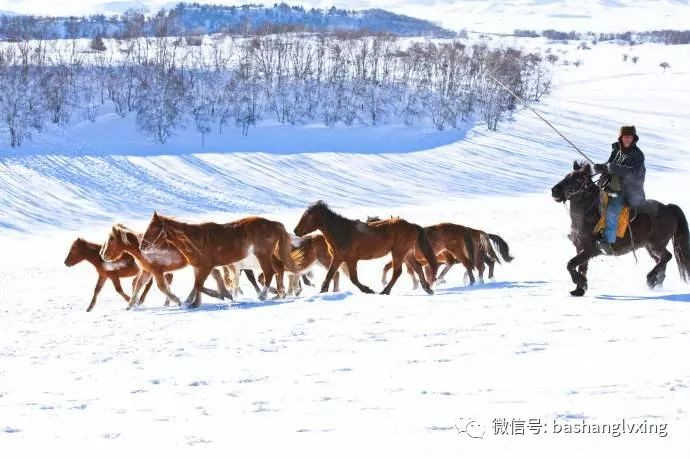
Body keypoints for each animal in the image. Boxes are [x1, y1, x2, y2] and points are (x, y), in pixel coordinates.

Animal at [99, 226, 228, 310]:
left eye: (111, 239)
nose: (103, 255)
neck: (143, 250)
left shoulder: (157, 271)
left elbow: (162, 287)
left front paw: (177, 301)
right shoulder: (147, 271)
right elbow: (138, 285)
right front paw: (130, 305)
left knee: (205, 279)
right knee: (212, 276)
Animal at [140, 214, 298, 308]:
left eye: (153, 229)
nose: (142, 246)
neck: (196, 240)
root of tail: (274, 224)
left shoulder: (206, 266)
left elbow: (199, 285)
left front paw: (222, 295)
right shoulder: (198, 267)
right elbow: (197, 285)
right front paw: (193, 302)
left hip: (262, 256)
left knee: (269, 273)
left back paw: (263, 295)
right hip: (267, 256)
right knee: (278, 269)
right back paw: (280, 292)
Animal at [292, 201, 436, 294]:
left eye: (307, 216)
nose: (295, 231)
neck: (342, 231)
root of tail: (411, 225)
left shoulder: (351, 259)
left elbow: (353, 279)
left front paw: (368, 290)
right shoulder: (337, 258)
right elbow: (329, 275)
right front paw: (322, 291)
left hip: (398, 252)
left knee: (397, 272)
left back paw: (385, 291)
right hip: (407, 253)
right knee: (417, 267)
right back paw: (427, 289)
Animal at [552, 162, 688, 296]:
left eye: (577, 179)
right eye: (566, 176)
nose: (554, 190)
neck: (588, 214)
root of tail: (669, 208)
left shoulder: (590, 250)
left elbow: (570, 264)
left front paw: (580, 282)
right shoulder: (580, 247)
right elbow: (581, 267)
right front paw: (580, 289)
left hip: (656, 244)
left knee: (667, 257)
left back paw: (650, 279)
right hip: (649, 246)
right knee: (661, 261)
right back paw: (656, 283)